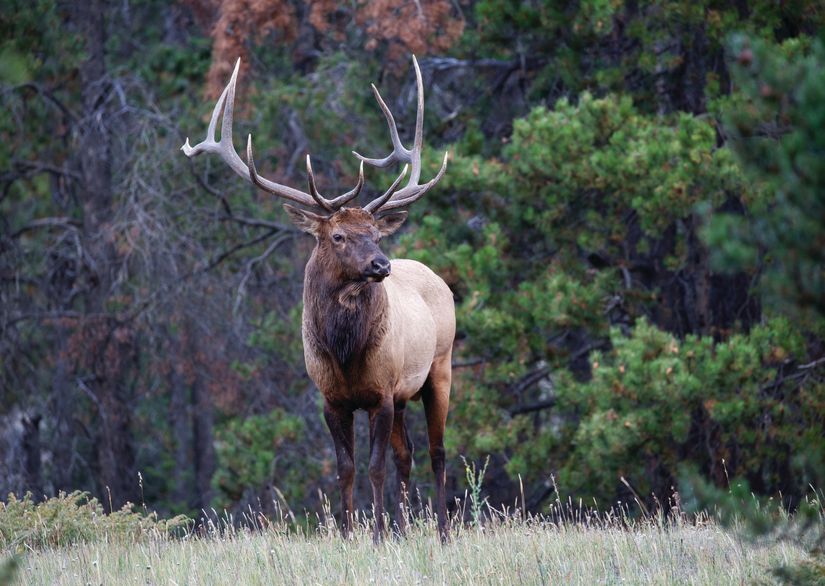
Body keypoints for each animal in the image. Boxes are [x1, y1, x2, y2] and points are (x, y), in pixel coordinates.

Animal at [182, 56, 454, 543]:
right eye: (338, 235)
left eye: (376, 232)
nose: (382, 264)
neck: (344, 351)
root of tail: (436, 277)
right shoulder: (331, 398)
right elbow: (346, 469)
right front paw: (348, 535)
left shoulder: (381, 393)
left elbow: (374, 468)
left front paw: (377, 536)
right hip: (407, 391)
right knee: (408, 455)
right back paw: (407, 530)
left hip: (440, 368)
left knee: (438, 452)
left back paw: (442, 533)